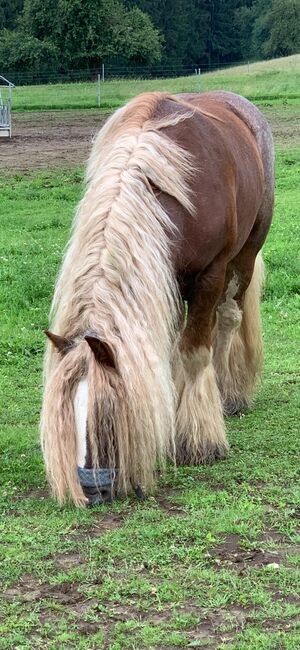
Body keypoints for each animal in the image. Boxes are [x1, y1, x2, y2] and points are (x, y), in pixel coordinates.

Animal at [39, 88, 274, 504]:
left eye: (107, 412)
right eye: (70, 412)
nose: (92, 486)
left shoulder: (210, 275)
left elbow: (196, 353)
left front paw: (200, 440)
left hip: (245, 254)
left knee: (228, 320)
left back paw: (228, 394)